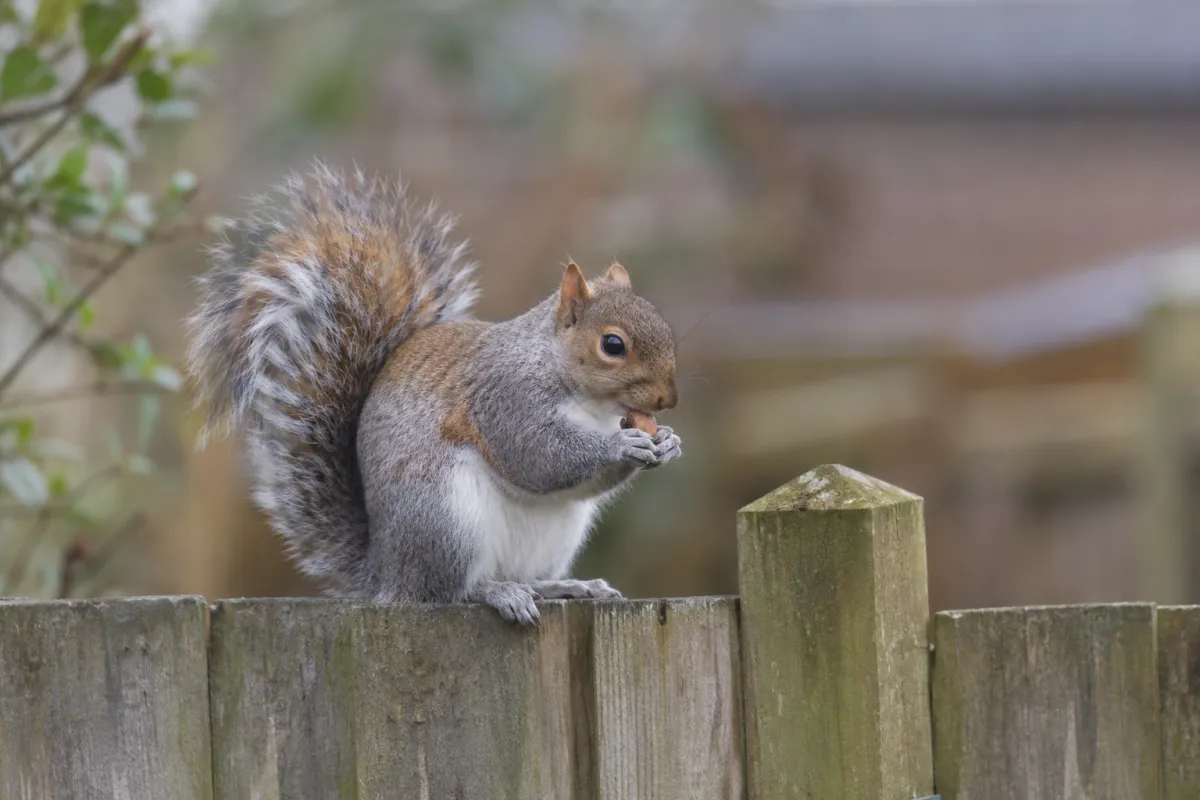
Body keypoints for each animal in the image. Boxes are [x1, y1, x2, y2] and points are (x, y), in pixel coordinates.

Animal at [185, 164, 682, 624]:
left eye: (665, 328)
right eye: (612, 345)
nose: (667, 401)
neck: (589, 404)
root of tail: (387, 575)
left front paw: (669, 442)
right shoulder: (503, 397)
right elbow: (538, 456)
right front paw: (623, 445)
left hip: (555, 536)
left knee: (525, 577)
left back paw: (564, 586)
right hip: (446, 518)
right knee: (447, 592)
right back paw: (498, 593)